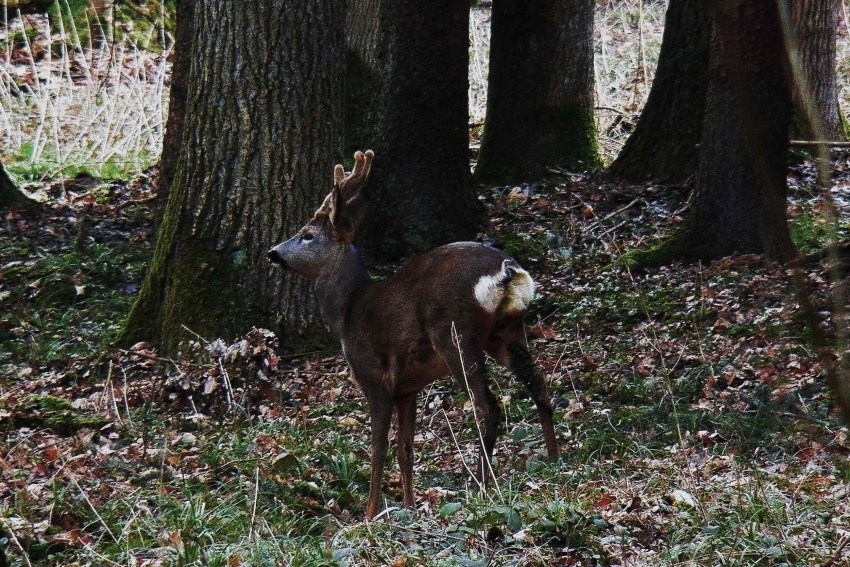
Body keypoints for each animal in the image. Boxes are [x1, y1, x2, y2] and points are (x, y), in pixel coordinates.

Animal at [268, 150, 560, 518]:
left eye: (307, 234)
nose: (273, 252)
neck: (348, 310)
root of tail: (508, 269)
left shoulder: (373, 376)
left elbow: (378, 447)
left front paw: (369, 514)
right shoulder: (408, 388)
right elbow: (405, 448)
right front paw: (408, 506)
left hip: (454, 334)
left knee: (488, 406)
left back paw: (482, 484)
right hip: (507, 331)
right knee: (539, 385)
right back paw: (554, 460)